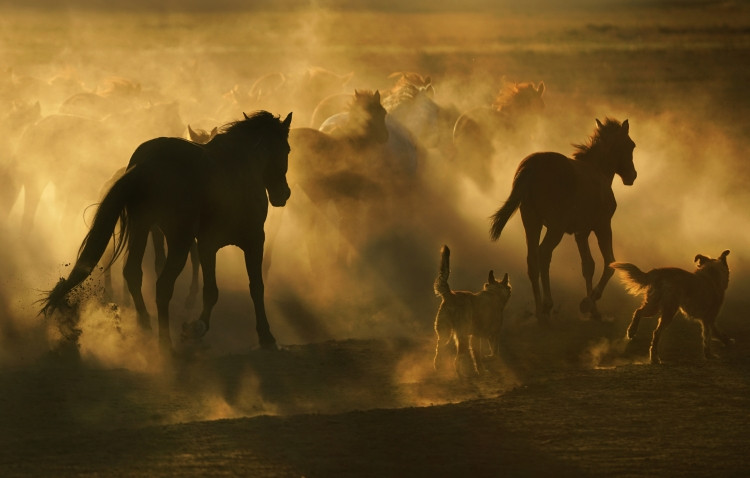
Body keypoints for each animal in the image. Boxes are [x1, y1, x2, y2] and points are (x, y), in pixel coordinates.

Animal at [40, 111, 294, 352]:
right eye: (287, 149)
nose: (283, 194)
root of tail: (146, 165)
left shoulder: (207, 244)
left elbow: (211, 290)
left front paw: (196, 328)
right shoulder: (253, 239)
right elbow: (254, 287)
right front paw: (266, 336)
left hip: (143, 228)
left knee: (133, 272)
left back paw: (145, 324)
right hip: (177, 239)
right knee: (162, 285)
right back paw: (165, 343)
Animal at [434, 246, 512, 378]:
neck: (494, 294)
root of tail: (451, 295)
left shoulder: (476, 337)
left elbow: (478, 357)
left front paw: (481, 370)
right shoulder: (491, 335)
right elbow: (494, 354)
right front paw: (486, 362)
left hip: (445, 335)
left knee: (439, 351)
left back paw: (438, 367)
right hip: (462, 338)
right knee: (457, 360)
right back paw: (461, 375)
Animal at [490, 117, 636, 324]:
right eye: (631, 145)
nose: (632, 175)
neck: (598, 172)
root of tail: (532, 166)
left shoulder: (581, 233)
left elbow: (588, 266)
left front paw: (594, 311)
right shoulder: (602, 226)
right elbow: (609, 263)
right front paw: (587, 304)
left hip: (531, 221)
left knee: (532, 260)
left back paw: (538, 312)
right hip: (555, 227)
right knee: (544, 253)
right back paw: (546, 306)